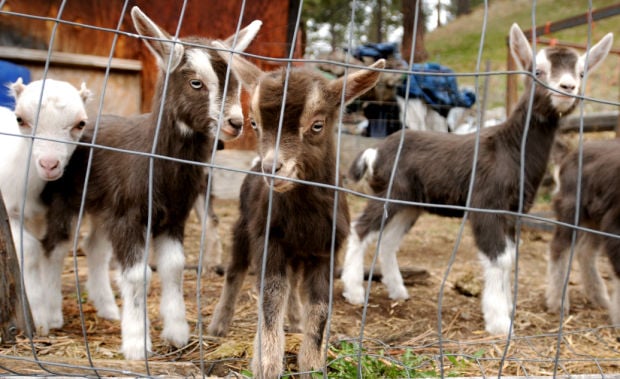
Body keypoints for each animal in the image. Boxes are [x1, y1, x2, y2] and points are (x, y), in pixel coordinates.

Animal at [38, 7, 262, 360]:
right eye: (196, 83)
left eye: (236, 82)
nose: (236, 124)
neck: (155, 157)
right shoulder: (131, 216)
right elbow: (137, 274)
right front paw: (136, 345)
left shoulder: (172, 217)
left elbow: (173, 267)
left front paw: (177, 334)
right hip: (66, 197)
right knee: (55, 246)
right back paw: (49, 316)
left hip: (104, 207)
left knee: (93, 247)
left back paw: (107, 310)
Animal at [206, 52, 386, 378]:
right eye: (254, 123)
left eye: (317, 125)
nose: (272, 168)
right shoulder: (269, 239)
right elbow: (270, 297)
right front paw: (266, 364)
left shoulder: (327, 250)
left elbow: (320, 307)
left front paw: (312, 365)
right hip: (243, 228)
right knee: (235, 272)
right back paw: (219, 325)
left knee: (291, 284)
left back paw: (295, 320)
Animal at [342, 23, 612, 336]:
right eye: (538, 70)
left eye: (581, 73)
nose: (567, 87)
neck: (511, 148)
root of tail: (376, 150)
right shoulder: (486, 204)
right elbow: (501, 259)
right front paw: (499, 322)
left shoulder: (512, 213)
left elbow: (511, 257)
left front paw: (507, 309)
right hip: (389, 192)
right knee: (360, 228)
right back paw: (354, 292)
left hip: (410, 203)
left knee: (387, 240)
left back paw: (398, 291)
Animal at [548, 140, 620, 326]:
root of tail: (569, 153)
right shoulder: (613, 223)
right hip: (571, 208)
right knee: (559, 248)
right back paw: (558, 303)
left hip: (594, 217)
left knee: (585, 252)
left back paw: (600, 299)